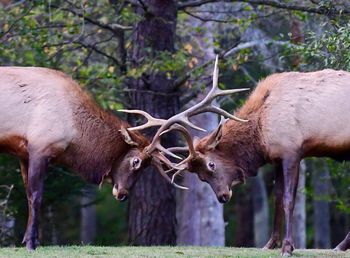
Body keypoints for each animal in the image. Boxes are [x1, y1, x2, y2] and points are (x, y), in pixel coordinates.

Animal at [0, 66, 189, 250]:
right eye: (136, 161)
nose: (123, 194)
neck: (74, 130)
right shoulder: (40, 148)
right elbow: (37, 196)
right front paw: (31, 243)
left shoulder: (24, 154)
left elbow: (28, 197)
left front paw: (29, 239)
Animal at [125, 56, 350, 256]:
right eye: (201, 177)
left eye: (211, 165)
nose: (223, 197)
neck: (261, 133)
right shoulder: (278, 157)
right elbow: (277, 197)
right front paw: (270, 244)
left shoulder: (292, 151)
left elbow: (288, 199)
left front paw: (287, 247)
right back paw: (340, 246)